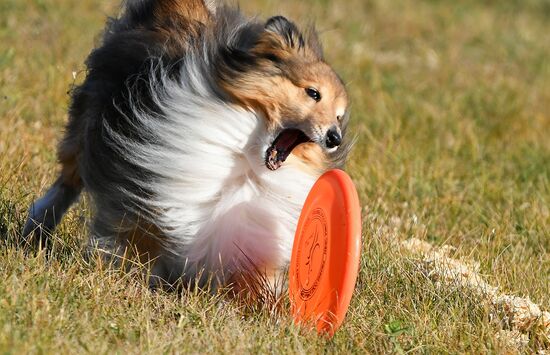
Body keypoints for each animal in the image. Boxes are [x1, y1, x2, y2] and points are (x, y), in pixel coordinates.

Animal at [22, 0, 354, 294]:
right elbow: (137, 232)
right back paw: (36, 228)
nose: (334, 138)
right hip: (87, 124)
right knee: (67, 181)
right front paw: (127, 272)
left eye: (339, 116)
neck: (245, 157)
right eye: (313, 93)